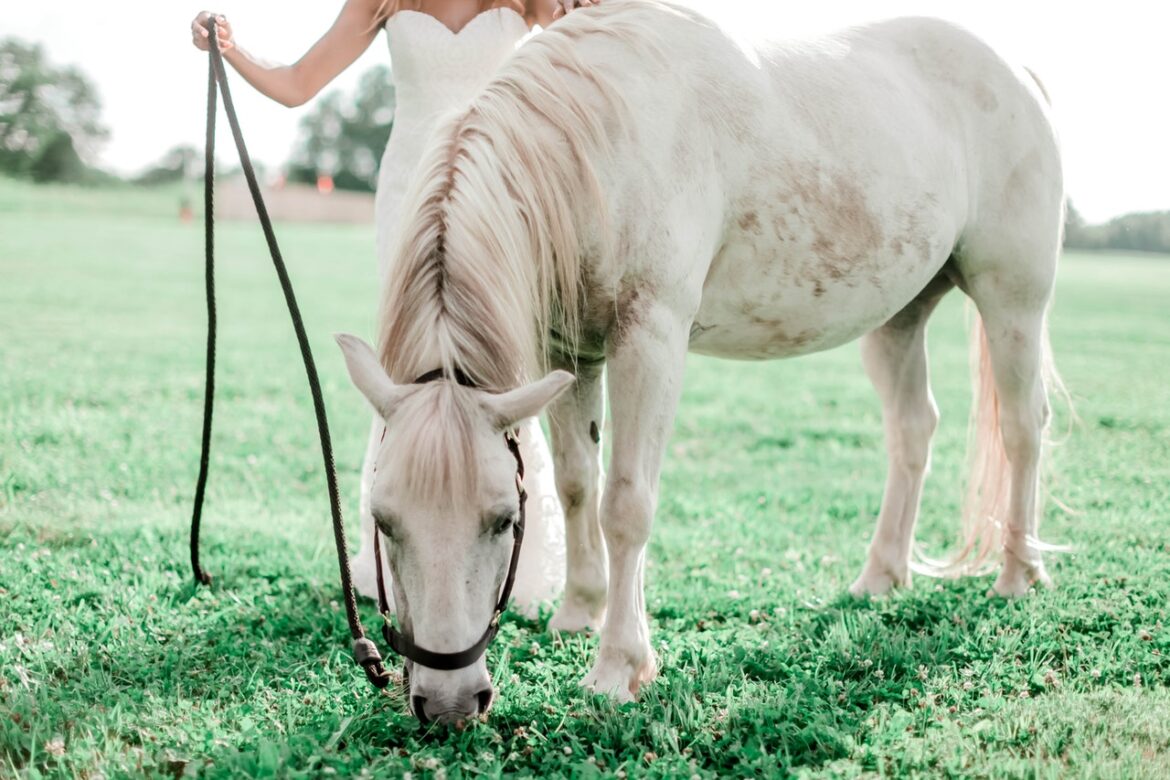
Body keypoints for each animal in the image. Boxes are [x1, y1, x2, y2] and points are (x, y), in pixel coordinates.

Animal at [334, 0, 1067, 725]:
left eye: (503, 521)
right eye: (383, 521)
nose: (448, 704)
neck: (599, 141)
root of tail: (1018, 74)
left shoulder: (651, 338)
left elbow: (625, 502)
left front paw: (618, 665)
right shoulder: (571, 353)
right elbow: (576, 485)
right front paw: (579, 612)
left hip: (1013, 303)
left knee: (1023, 429)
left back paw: (1017, 574)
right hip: (898, 320)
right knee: (913, 430)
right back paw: (881, 576)